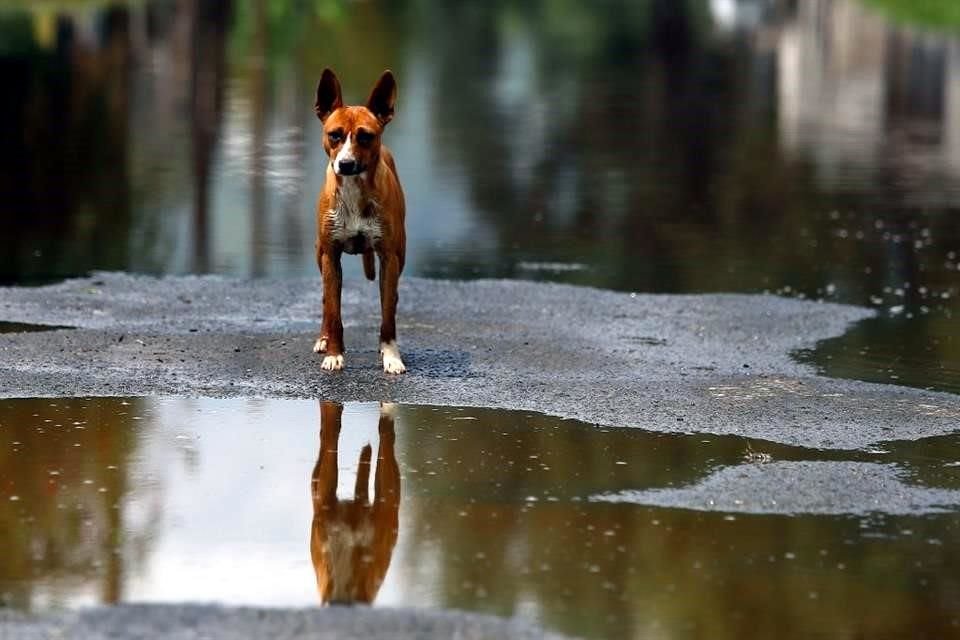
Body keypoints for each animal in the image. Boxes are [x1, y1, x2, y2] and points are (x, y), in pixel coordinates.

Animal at [314, 68, 406, 372]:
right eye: (334, 135)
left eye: (365, 136)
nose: (345, 164)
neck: (354, 190)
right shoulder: (331, 256)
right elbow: (333, 311)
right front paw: (334, 353)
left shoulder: (390, 258)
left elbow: (388, 314)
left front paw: (391, 355)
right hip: (320, 257)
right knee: (325, 301)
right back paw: (323, 339)